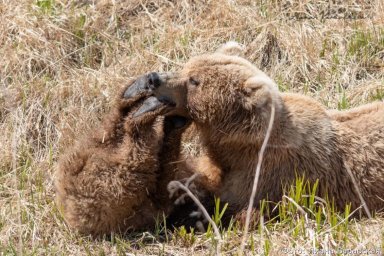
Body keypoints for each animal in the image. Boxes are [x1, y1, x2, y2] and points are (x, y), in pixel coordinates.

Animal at [134, 42, 384, 220]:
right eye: (187, 66)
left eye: (195, 81)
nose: (154, 78)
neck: (236, 146)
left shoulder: (269, 174)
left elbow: (240, 206)